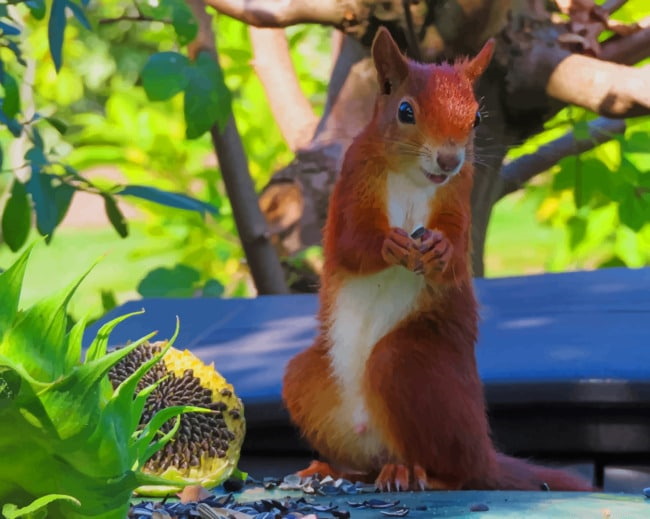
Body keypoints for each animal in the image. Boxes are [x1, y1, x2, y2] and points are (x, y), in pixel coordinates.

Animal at [282, 27, 592, 492]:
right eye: (405, 111)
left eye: (476, 119)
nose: (449, 159)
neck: (414, 177)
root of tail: (485, 453)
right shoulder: (353, 181)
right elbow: (350, 243)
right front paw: (387, 245)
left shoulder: (460, 193)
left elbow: (458, 256)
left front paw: (442, 251)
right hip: (307, 380)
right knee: (366, 462)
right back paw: (330, 468)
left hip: (413, 367)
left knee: (456, 471)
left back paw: (412, 472)